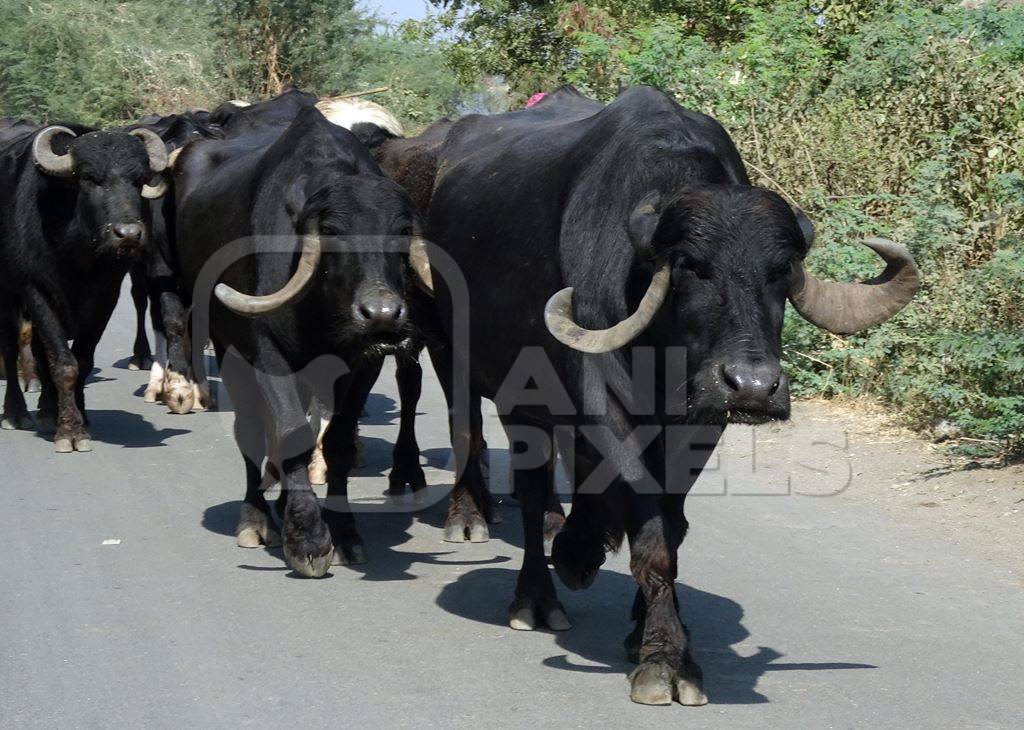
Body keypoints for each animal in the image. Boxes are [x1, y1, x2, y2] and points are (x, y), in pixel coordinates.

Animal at [0, 120, 167, 450]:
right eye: (90, 178)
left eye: (140, 179)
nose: (128, 234)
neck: (74, 254)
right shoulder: (35, 291)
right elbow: (64, 364)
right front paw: (69, 431)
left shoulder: (106, 295)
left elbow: (83, 360)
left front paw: (78, 417)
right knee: (12, 347)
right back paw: (15, 413)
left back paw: (48, 409)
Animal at [174, 98, 421, 573]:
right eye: (332, 232)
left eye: (401, 231)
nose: (381, 314)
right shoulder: (267, 355)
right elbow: (288, 433)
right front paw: (306, 537)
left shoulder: (362, 364)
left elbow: (336, 441)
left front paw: (344, 532)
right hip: (230, 350)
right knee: (252, 431)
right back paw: (255, 519)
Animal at [417, 87, 921, 704]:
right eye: (689, 267)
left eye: (781, 269)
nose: (753, 386)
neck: (661, 350)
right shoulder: (601, 402)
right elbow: (651, 532)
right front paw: (664, 661)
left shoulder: (702, 421)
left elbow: (671, 526)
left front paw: (648, 632)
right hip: (494, 382)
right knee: (528, 487)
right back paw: (534, 593)